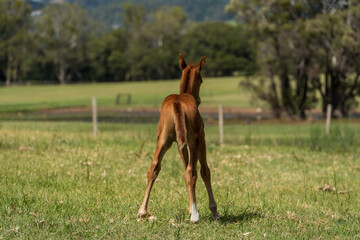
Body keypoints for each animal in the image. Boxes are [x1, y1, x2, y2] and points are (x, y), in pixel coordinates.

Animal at [137, 54, 217, 223]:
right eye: (201, 80)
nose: (199, 100)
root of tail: (177, 102)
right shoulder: (201, 141)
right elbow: (204, 171)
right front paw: (213, 211)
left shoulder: (180, 145)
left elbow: (185, 168)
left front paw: (190, 207)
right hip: (193, 141)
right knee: (192, 172)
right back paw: (195, 215)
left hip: (163, 140)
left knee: (154, 168)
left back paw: (142, 212)